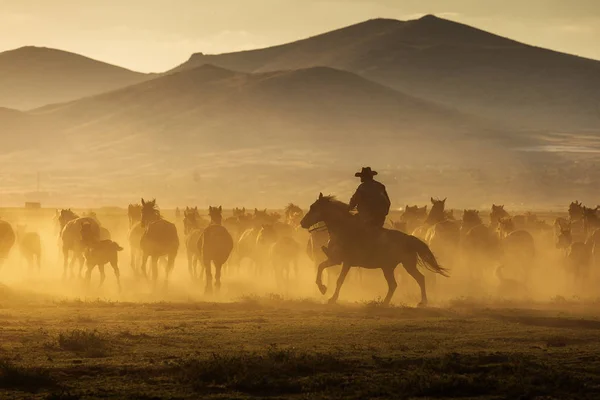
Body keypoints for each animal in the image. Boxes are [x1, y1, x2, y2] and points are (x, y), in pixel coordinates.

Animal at [298, 195, 446, 306]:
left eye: (313, 207)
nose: (302, 223)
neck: (343, 229)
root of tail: (409, 238)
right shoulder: (336, 260)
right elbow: (321, 267)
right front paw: (323, 289)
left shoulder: (344, 262)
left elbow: (338, 279)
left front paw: (331, 297)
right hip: (394, 267)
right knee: (404, 282)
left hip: (401, 266)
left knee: (412, 280)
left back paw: (418, 302)